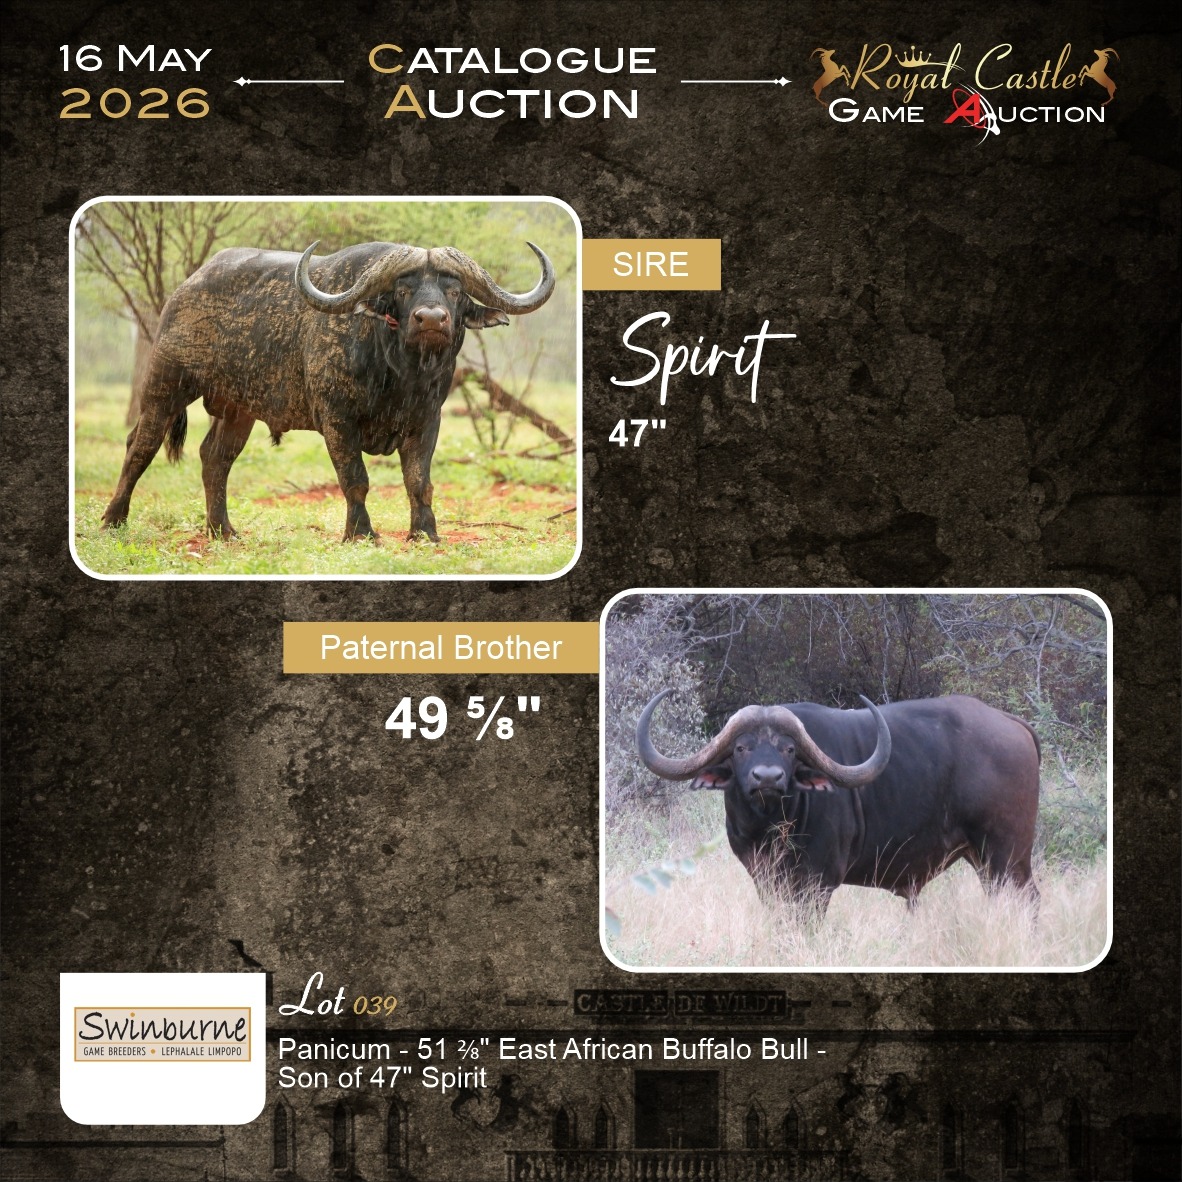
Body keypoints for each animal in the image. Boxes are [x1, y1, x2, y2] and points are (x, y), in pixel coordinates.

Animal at [101, 237, 556, 541]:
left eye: (454, 289)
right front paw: (361, 534)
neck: (398, 374)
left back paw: (222, 530)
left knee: (214, 457)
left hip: (238, 411)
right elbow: (355, 479)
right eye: (404, 288)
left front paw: (425, 533)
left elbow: (419, 481)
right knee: (139, 447)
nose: (431, 319)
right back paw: (114, 519)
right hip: (164, 387)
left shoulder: (427, 420)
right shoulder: (337, 420)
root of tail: (184, 290)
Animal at [636, 691, 1040, 915]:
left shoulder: (817, 884)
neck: (769, 828)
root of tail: (1011, 723)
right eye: (741, 748)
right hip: (984, 860)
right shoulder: (765, 881)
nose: (767, 778)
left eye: (789, 749)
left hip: (1008, 858)